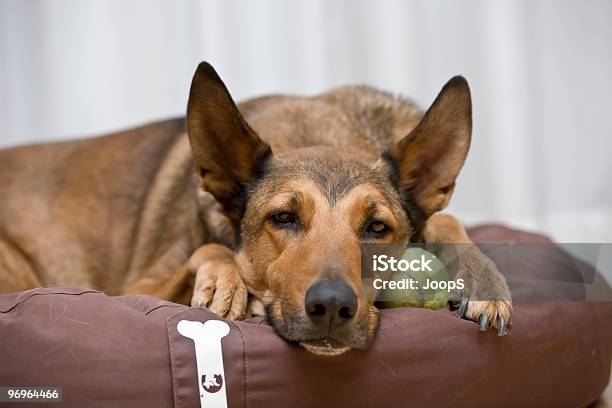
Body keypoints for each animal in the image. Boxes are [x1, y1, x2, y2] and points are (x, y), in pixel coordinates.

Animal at [0, 62, 512, 356]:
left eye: (376, 227)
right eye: (283, 217)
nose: (332, 307)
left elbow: (446, 217)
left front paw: (484, 280)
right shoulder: (134, 288)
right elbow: (209, 249)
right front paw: (225, 282)